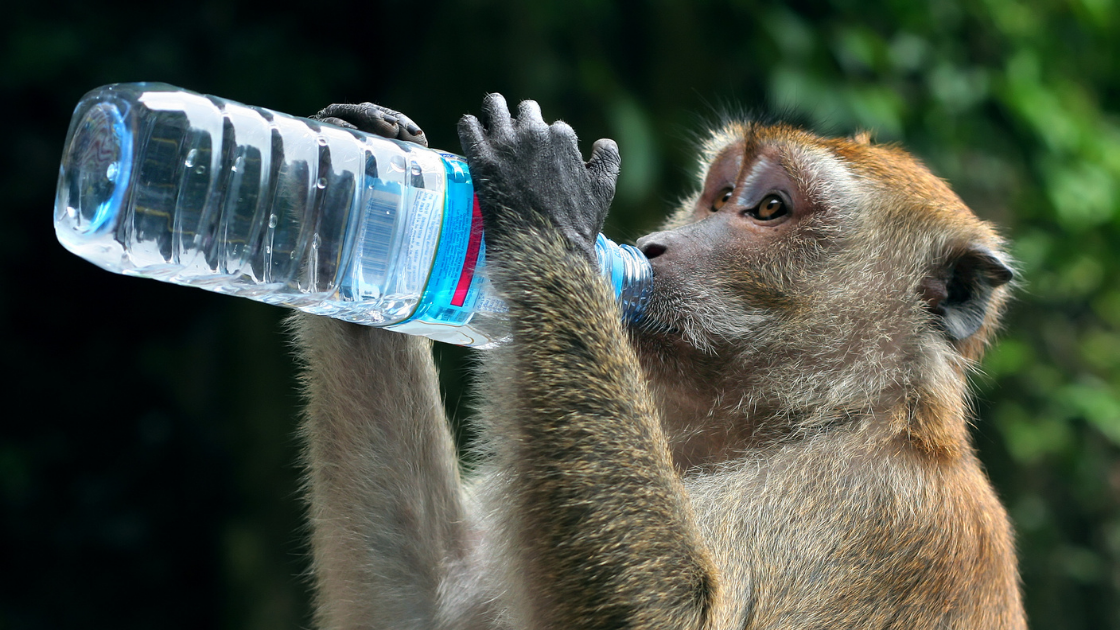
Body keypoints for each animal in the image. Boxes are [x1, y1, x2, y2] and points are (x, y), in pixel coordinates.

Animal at [293, 94, 1025, 627]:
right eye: (721, 196)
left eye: (770, 208)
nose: (653, 246)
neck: (829, 412)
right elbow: (412, 613)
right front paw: (359, 191)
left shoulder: (866, 506)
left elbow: (665, 618)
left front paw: (547, 205)